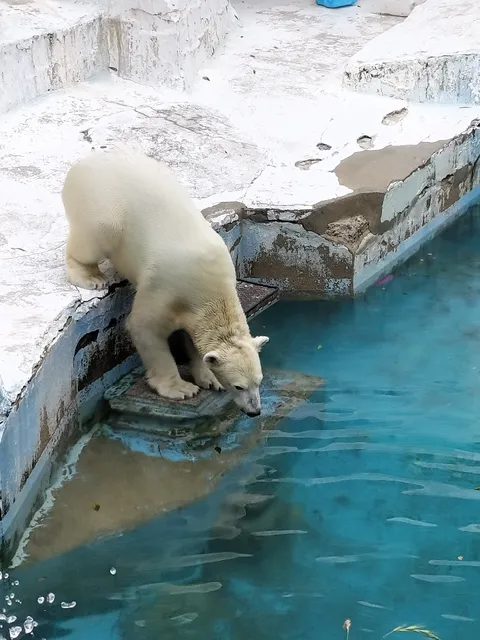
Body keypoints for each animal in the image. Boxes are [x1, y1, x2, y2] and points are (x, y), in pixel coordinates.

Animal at [62, 150, 269, 416]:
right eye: (238, 386)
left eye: (258, 381)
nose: (255, 411)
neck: (210, 287)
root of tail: (82, 164)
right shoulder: (164, 287)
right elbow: (144, 328)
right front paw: (182, 388)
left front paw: (209, 378)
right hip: (101, 203)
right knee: (97, 233)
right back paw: (91, 276)